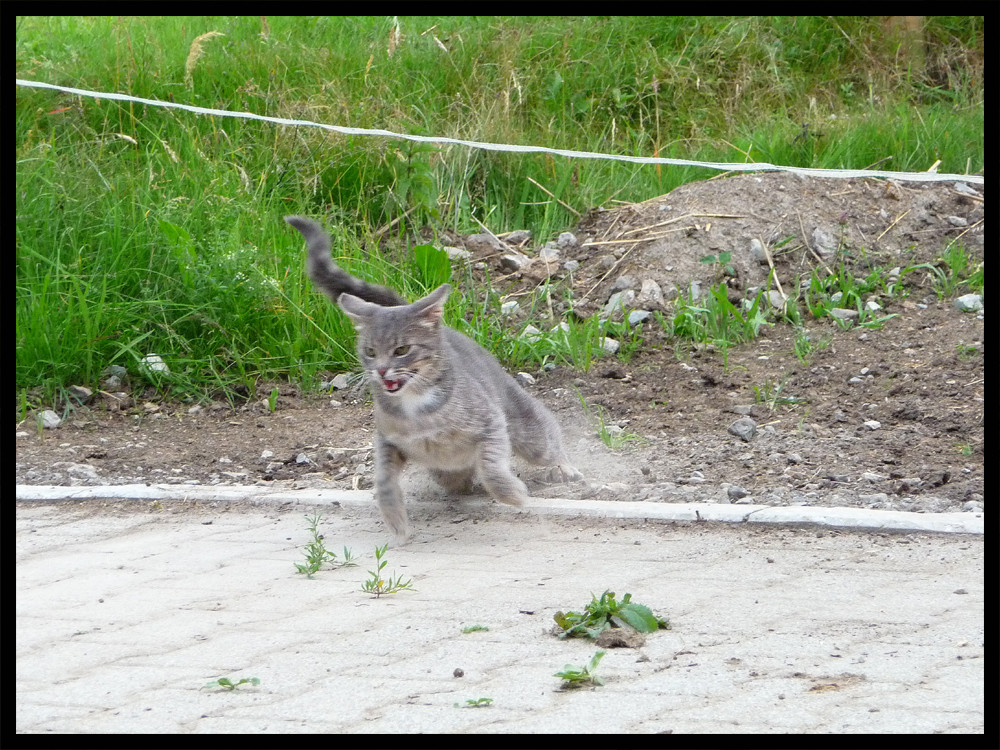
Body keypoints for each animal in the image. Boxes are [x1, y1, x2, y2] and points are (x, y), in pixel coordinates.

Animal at [286, 217, 584, 548]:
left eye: (402, 350)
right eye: (370, 351)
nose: (381, 371)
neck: (416, 408)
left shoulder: (491, 423)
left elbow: (492, 466)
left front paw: (512, 494)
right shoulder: (388, 441)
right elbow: (383, 482)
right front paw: (396, 522)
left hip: (526, 429)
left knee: (547, 436)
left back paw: (564, 468)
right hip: (445, 470)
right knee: (455, 478)